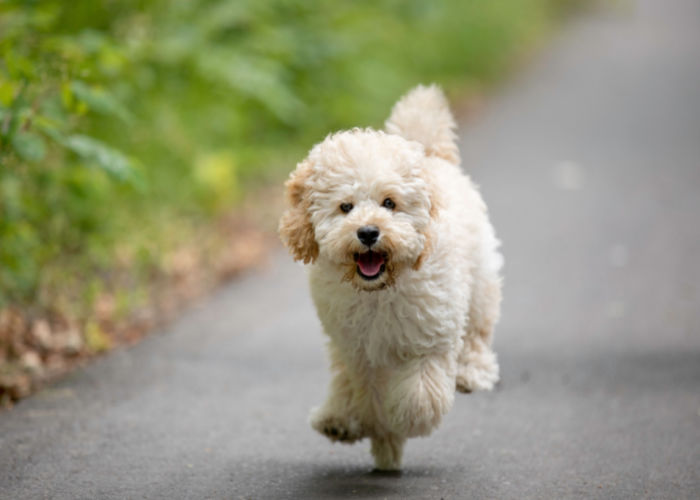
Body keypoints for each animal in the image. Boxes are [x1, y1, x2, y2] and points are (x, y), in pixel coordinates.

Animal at [278, 84, 504, 470]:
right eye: (346, 207)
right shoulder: (359, 351)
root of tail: (429, 153)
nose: (368, 232)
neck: (379, 290)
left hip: (480, 281)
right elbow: (367, 395)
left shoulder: (429, 338)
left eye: (389, 203)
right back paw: (339, 420)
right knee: (343, 380)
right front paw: (381, 434)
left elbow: (420, 395)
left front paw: (406, 420)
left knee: (477, 331)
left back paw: (471, 373)